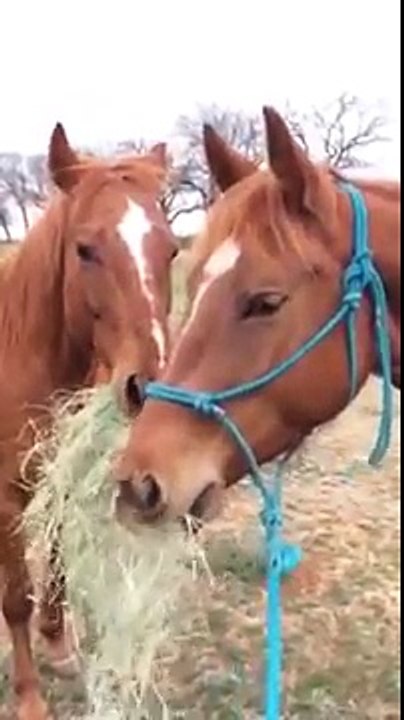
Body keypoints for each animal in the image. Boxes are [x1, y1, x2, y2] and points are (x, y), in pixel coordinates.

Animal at [0, 123, 178, 720]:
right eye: (84, 249)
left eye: (172, 249)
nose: (148, 387)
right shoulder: (5, 495)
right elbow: (16, 596)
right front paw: (30, 696)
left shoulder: (62, 478)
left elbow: (56, 565)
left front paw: (58, 642)